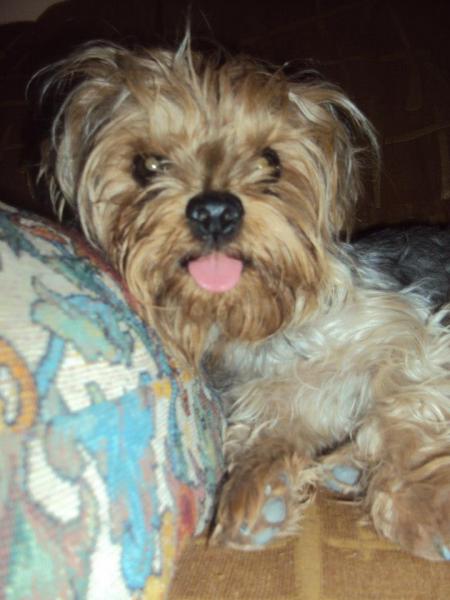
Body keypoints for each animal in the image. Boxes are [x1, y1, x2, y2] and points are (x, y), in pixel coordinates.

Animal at [37, 38, 450, 561]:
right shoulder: (274, 401)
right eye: (147, 165)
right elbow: (267, 431)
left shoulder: (413, 332)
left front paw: (424, 504)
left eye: (271, 161)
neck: (263, 328)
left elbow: (398, 410)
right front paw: (260, 489)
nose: (215, 210)